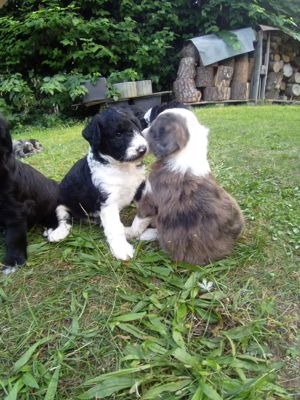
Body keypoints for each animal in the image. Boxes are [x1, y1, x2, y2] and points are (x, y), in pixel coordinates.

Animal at [44, 108, 148, 260]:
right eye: (118, 134)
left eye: (138, 128)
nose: (143, 149)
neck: (122, 167)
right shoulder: (108, 202)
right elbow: (114, 227)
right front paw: (121, 249)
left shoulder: (140, 188)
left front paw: (136, 230)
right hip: (60, 202)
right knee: (64, 218)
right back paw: (58, 233)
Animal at [125, 108, 245, 264]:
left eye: (153, 129)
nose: (142, 135)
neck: (184, 154)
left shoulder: (149, 199)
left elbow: (138, 221)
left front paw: (129, 232)